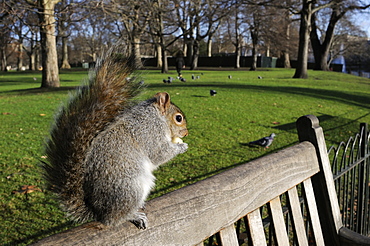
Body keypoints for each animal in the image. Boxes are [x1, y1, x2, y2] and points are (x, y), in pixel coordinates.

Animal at [42, 47, 189, 230]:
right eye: (178, 118)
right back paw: (133, 216)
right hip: (130, 188)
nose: (186, 133)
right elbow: (158, 154)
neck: (157, 117)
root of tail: (97, 211)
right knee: (113, 220)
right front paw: (182, 147)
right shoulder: (149, 132)